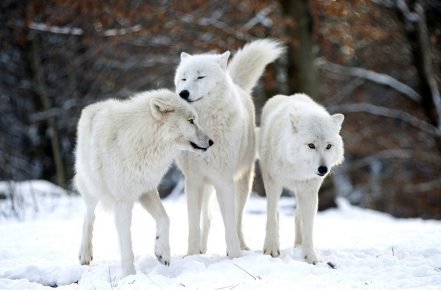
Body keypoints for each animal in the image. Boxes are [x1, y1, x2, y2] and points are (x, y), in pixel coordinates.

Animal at [74, 89, 211, 276]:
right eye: (191, 121)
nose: (211, 142)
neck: (145, 141)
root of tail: (92, 106)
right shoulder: (123, 201)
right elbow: (126, 246)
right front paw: (129, 275)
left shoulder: (147, 190)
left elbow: (165, 219)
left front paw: (163, 253)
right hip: (92, 189)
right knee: (88, 217)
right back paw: (85, 254)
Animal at [174, 39, 284, 258]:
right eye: (183, 78)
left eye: (200, 76)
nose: (183, 93)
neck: (206, 127)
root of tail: (237, 85)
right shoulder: (193, 180)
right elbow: (193, 225)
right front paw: (191, 255)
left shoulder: (223, 180)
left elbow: (230, 224)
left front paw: (234, 256)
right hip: (207, 186)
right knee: (207, 217)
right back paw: (202, 249)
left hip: (242, 183)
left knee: (238, 218)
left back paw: (242, 246)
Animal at [258, 93, 344, 266]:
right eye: (311, 145)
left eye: (328, 146)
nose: (323, 169)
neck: (297, 170)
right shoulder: (272, 182)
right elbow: (272, 218)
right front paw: (271, 249)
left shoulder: (309, 192)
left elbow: (308, 227)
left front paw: (310, 257)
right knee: (276, 214)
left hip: (300, 193)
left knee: (298, 217)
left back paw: (298, 245)